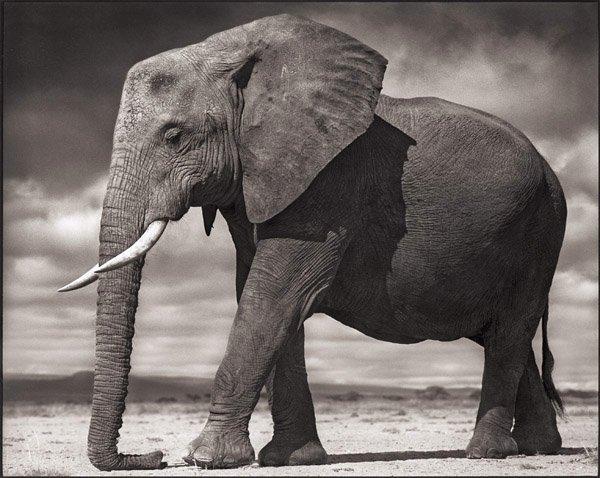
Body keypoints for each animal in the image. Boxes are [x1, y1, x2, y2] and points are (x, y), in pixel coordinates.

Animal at [61, 14, 568, 470]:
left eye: (174, 135)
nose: (153, 456)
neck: (232, 55)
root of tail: (549, 169)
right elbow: (263, 296)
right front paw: (291, 458)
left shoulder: (328, 183)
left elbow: (274, 296)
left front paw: (206, 458)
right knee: (506, 336)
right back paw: (538, 448)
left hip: (541, 232)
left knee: (508, 334)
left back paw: (485, 452)